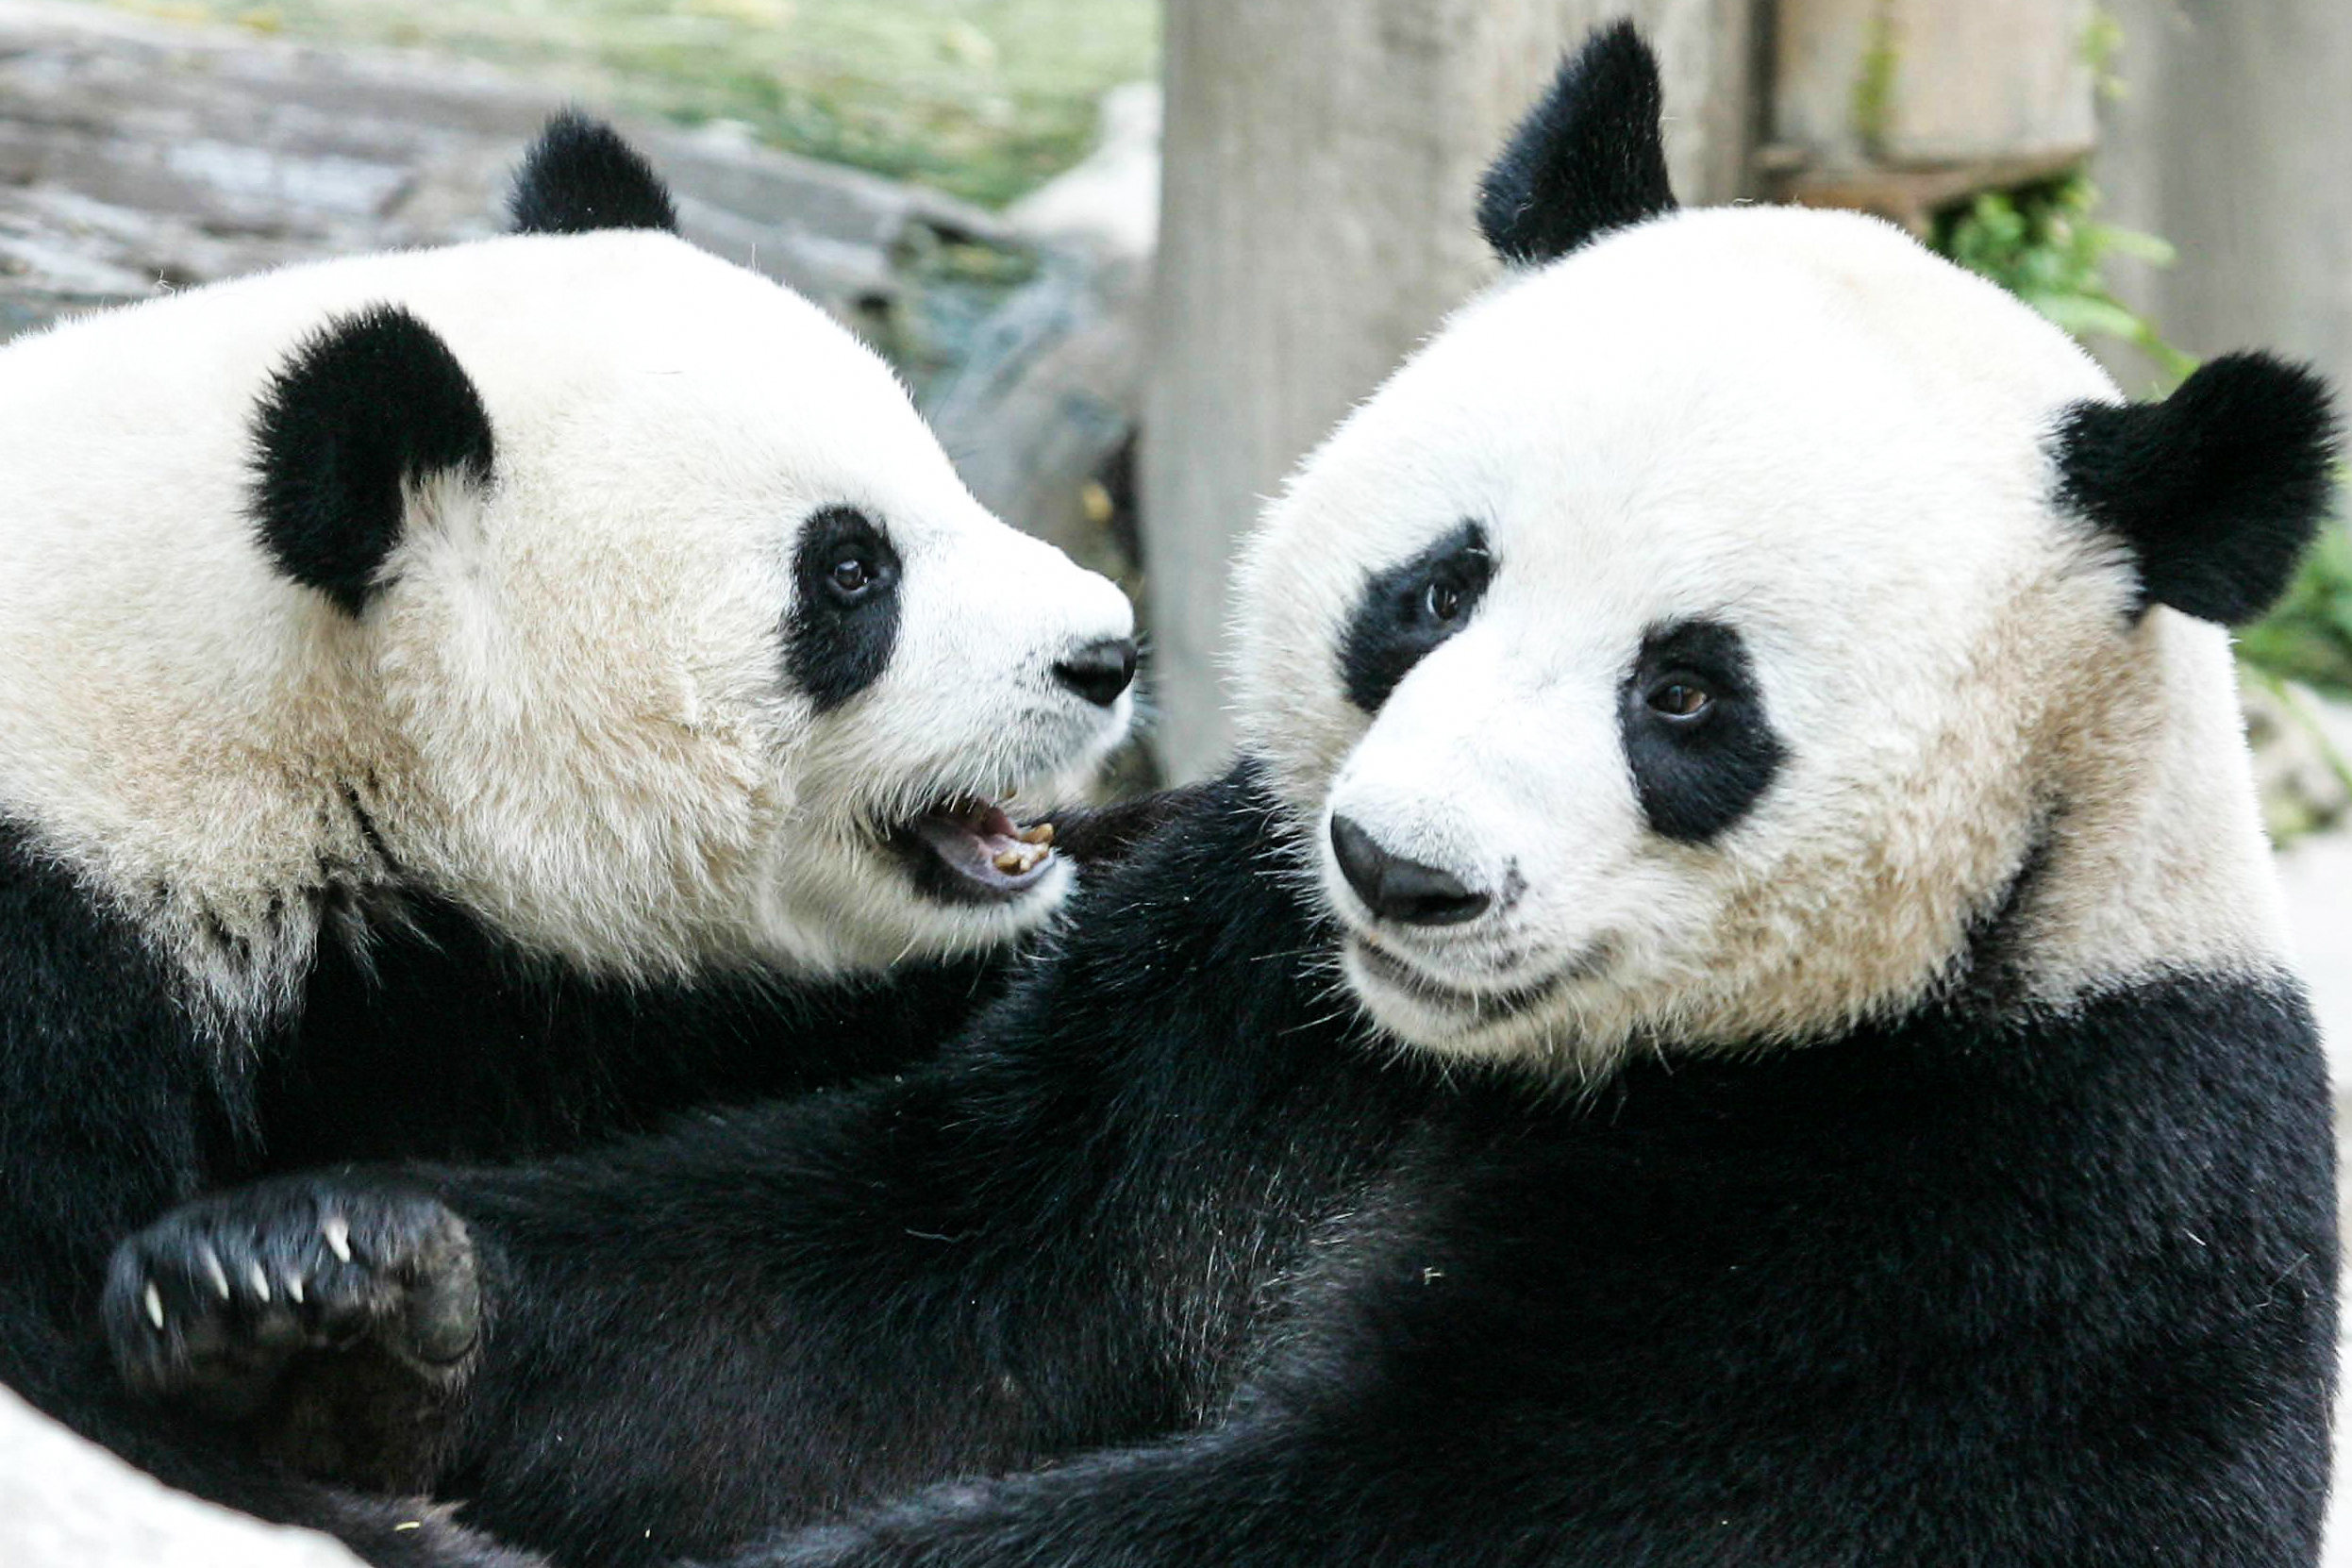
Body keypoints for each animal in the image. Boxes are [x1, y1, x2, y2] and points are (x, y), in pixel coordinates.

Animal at [106, 27, 2333, 1568]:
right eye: (1434, 587)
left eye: (1686, 697)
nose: (1405, 873)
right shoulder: (1223, 1010)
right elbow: (859, 1314)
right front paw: (314, 1291)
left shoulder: (1976, 1220)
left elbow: (1456, 1507)